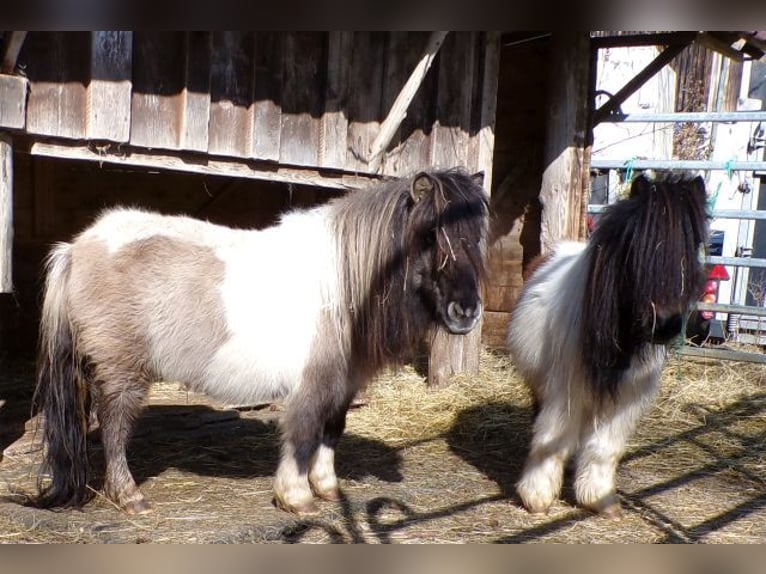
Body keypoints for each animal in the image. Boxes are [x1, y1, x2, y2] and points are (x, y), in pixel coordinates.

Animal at [32, 168, 489, 515]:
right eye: (430, 234)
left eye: (475, 237)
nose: (466, 312)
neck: (342, 284)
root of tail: (78, 247)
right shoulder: (311, 384)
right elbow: (303, 433)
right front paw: (297, 497)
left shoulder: (343, 382)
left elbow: (331, 431)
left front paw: (327, 487)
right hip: (121, 372)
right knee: (114, 428)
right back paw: (129, 497)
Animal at [506, 171, 709, 516]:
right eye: (638, 247)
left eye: (691, 246)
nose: (665, 324)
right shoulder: (565, 392)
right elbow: (552, 441)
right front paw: (537, 497)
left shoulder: (626, 397)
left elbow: (604, 447)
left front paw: (598, 497)